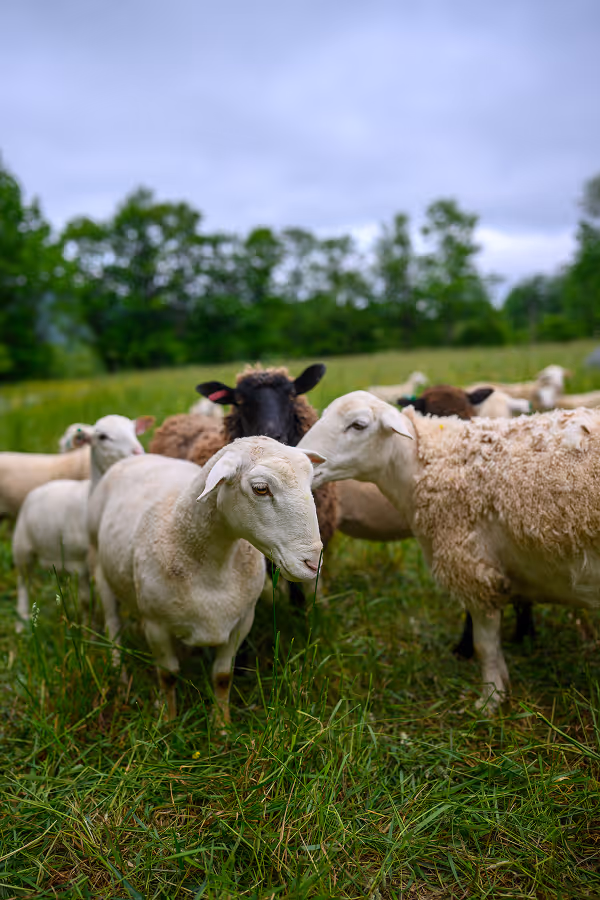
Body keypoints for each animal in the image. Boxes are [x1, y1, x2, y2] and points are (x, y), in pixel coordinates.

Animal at [12, 415, 155, 631]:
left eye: (133, 430)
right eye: (102, 437)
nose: (137, 451)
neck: (90, 497)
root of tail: (42, 486)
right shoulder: (84, 564)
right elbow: (89, 601)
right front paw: (90, 632)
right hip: (22, 547)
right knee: (23, 583)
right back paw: (22, 622)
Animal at [87, 437, 324, 723]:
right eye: (260, 489)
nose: (313, 562)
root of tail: (136, 458)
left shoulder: (242, 620)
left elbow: (222, 676)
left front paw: (222, 725)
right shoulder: (155, 625)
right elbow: (167, 676)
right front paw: (169, 721)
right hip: (99, 565)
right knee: (112, 625)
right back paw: (119, 674)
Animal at [298, 391, 600, 709]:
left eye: (358, 425)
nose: (304, 459)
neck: (427, 463)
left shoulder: (476, 572)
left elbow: (484, 646)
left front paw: (490, 700)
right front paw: (502, 688)